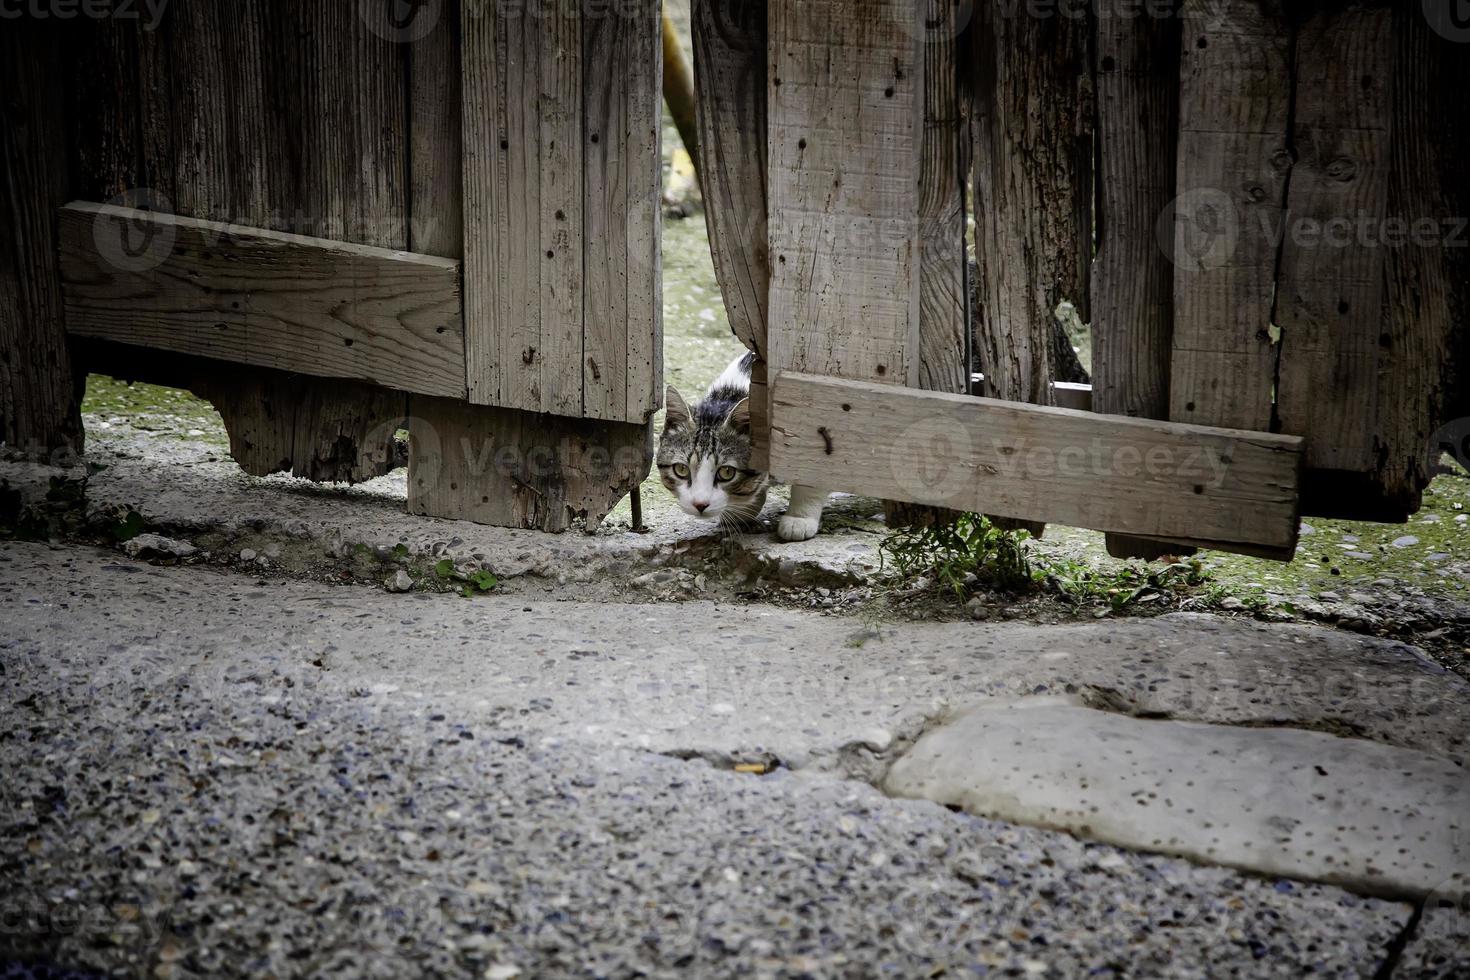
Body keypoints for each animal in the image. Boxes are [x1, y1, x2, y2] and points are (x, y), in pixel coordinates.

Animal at [655, 351, 829, 543]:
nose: (700, 504)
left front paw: (799, 519)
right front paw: (740, 514)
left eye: (727, 472)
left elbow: (811, 477)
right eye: (681, 469)